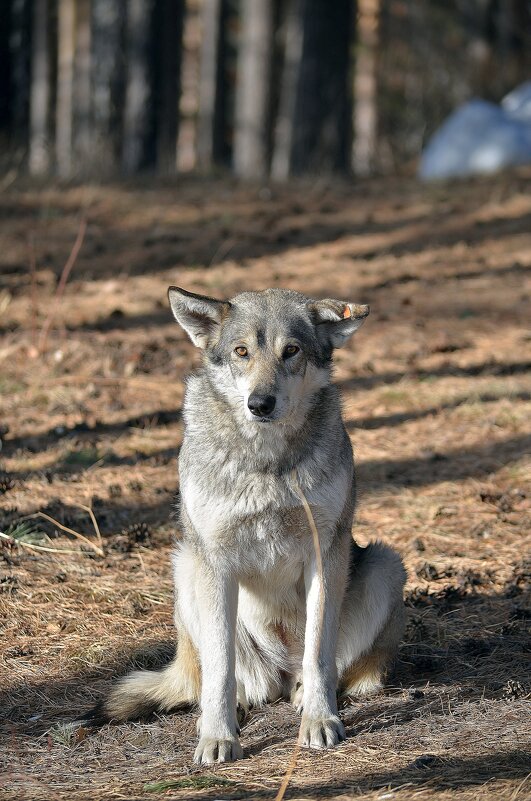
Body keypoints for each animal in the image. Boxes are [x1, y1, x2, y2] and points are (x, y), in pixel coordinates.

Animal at [95, 286, 406, 764]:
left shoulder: (326, 552)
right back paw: (230, 706)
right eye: (241, 352)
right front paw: (218, 737)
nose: (260, 404)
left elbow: (320, 654)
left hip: (387, 564)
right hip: (186, 566)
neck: (267, 461)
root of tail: (278, 673)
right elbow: (220, 667)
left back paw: (304, 694)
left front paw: (320, 721)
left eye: (291, 351)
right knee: (220, 676)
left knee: (336, 671)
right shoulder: (215, 560)